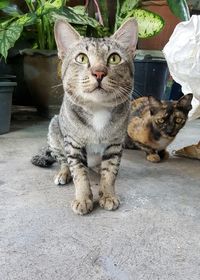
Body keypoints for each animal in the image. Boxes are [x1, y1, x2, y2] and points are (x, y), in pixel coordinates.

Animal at [31, 18, 138, 214]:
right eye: (81, 58)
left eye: (114, 58)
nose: (99, 72)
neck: (98, 110)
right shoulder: (73, 144)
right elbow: (79, 173)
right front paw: (82, 198)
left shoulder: (115, 144)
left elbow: (110, 173)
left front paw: (108, 194)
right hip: (55, 132)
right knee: (64, 161)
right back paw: (63, 174)